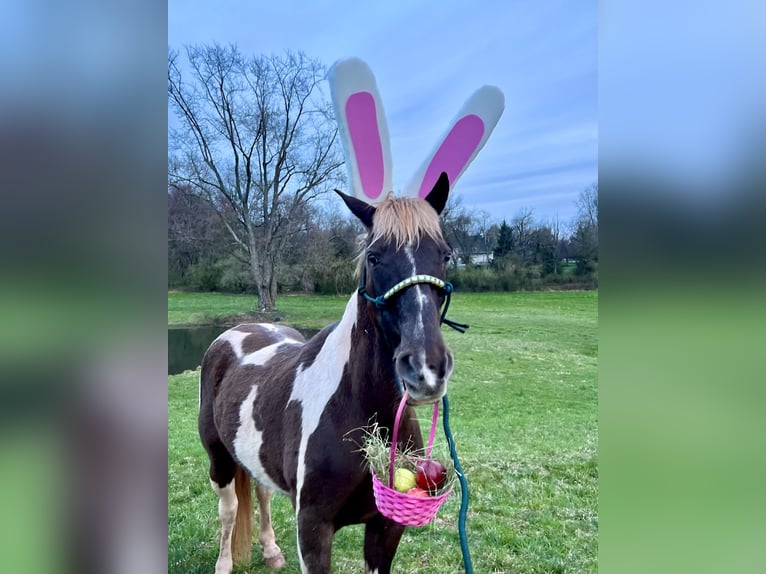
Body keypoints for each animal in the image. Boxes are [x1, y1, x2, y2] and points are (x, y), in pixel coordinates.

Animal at [198, 172, 455, 574]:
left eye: (444, 254)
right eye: (374, 257)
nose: (426, 368)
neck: (356, 406)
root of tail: (236, 332)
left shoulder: (386, 527)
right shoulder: (313, 528)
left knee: (261, 493)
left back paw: (271, 551)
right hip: (219, 461)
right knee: (229, 509)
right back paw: (224, 563)